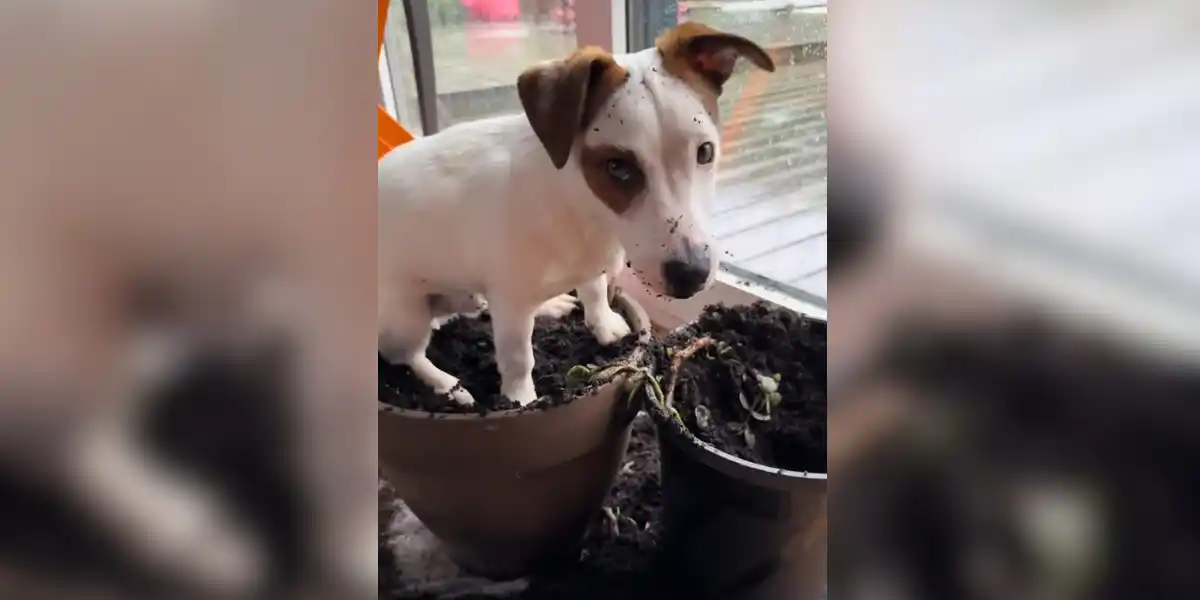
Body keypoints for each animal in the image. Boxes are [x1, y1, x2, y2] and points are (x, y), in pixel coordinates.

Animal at [376, 24, 777, 408]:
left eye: (705, 151)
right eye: (617, 167)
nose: (692, 275)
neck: (584, 212)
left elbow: (595, 291)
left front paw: (604, 325)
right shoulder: (511, 304)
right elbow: (518, 359)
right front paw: (519, 398)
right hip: (407, 318)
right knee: (405, 356)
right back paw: (447, 385)